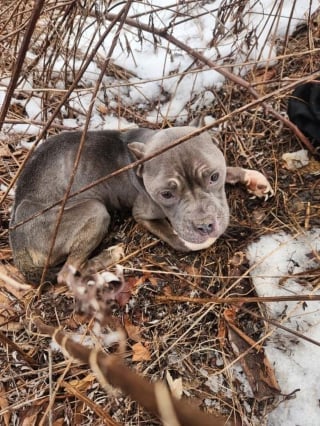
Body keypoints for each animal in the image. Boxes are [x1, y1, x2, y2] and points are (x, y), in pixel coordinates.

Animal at [8, 126, 272, 282]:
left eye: (214, 177)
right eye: (166, 194)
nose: (205, 226)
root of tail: (17, 245)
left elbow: (231, 170)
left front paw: (252, 179)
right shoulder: (143, 215)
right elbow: (179, 240)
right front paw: (197, 240)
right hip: (94, 211)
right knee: (66, 274)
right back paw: (108, 256)